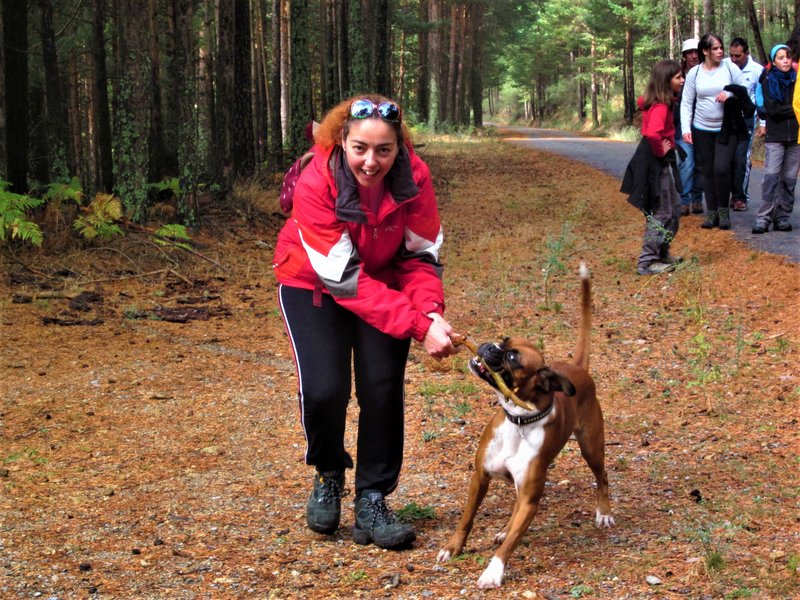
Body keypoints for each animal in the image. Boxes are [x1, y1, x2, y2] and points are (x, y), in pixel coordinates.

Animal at [438, 264, 612, 588]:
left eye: (511, 357)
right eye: (503, 340)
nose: (489, 346)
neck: (518, 420)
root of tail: (577, 368)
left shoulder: (531, 497)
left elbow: (510, 543)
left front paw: (493, 572)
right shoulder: (480, 477)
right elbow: (467, 518)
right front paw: (453, 547)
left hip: (591, 447)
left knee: (602, 476)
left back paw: (604, 513)